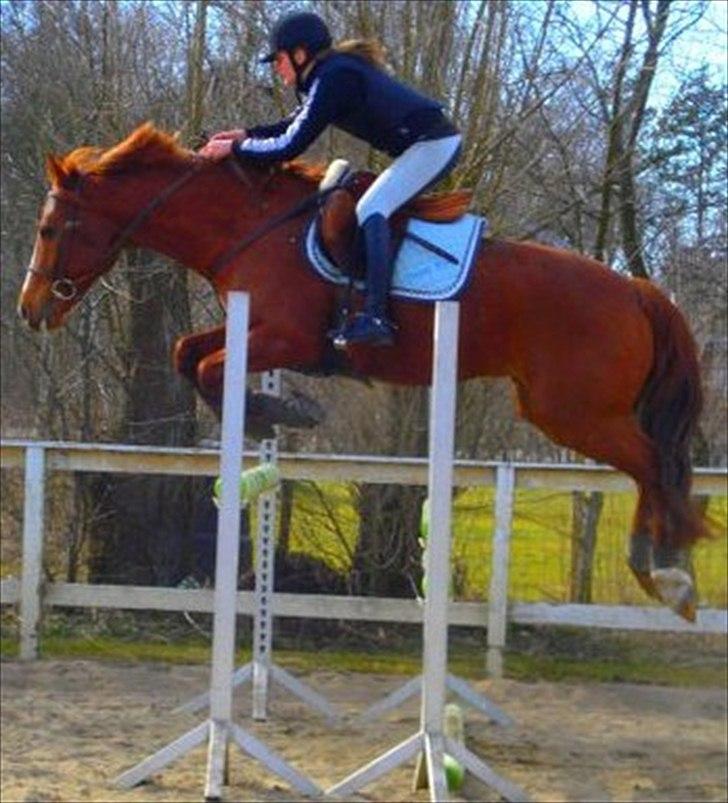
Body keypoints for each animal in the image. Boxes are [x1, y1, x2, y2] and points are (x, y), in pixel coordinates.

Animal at [17, 122, 708, 620]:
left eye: (49, 228)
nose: (29, 310)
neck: (250, 226)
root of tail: (637, 291)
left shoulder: (286, 335)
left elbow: (209, 363)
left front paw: (284, 410)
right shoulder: (260, 329)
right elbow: (188, 352)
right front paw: (272, 412)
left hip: (571, 412)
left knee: (655, 465)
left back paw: (668, 571)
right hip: (571, 411)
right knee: (655, 468)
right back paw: (663, 566)